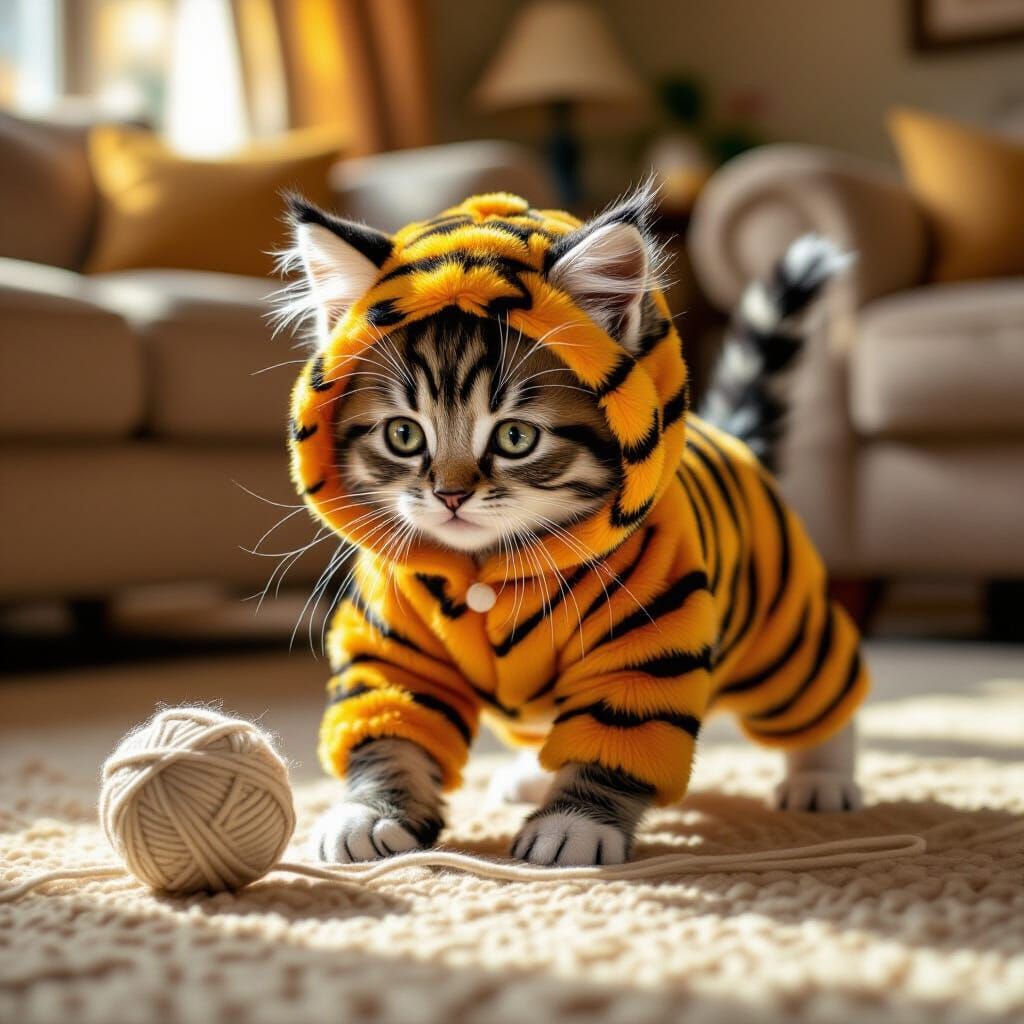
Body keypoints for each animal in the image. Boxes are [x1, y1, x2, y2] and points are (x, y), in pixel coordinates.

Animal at [279, 186, 869, 867]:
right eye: (403, 434)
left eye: (515, 438)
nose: (451, 494)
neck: (485, 570)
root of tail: (730, 437)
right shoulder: (396, 651)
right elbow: (391, 729)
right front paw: (367, 812)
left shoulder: (644, 643)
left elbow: (613, 738)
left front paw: (574, 825)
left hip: (781, 629)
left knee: (823, 694)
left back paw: (822, 779)